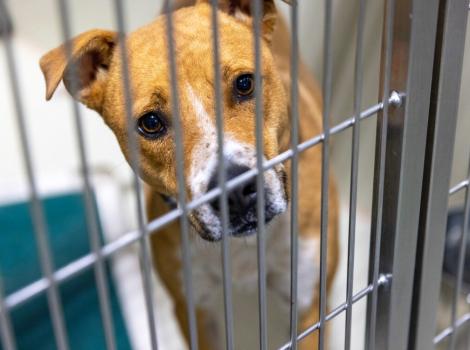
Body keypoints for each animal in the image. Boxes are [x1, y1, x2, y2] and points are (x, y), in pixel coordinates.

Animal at [39, 1, 338, 348]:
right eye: (150, 123)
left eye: (244, 84)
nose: (234, 192)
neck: (243, 249)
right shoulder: (193, 310)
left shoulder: (309, 302)